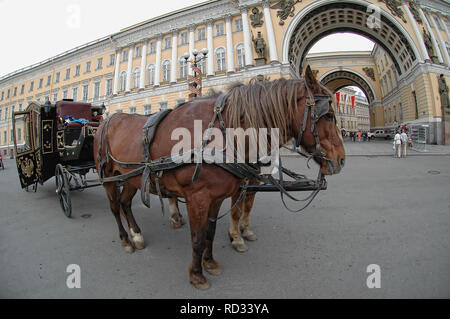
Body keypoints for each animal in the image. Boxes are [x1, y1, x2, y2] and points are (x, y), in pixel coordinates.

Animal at [92, 67, 344, 290]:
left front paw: (210, 262)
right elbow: (197, 236)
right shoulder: (198, 198)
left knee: (125, 203)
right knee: (115, 207)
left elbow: (210, 232)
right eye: (330, 115)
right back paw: (126, 240)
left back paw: (136, 235)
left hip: (131, 178)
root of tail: (107, 120)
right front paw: (196, 275)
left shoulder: (217, 197)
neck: (219, 134)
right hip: (109, 178)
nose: (341, 160)